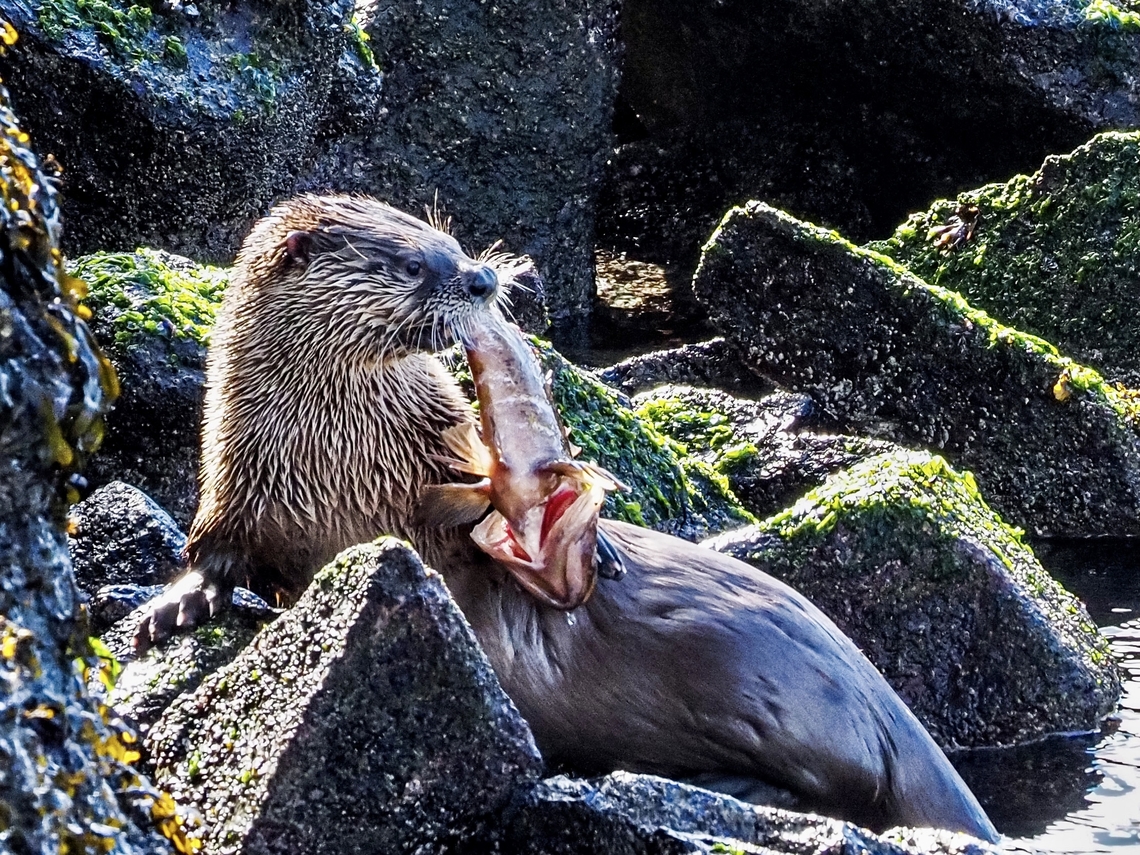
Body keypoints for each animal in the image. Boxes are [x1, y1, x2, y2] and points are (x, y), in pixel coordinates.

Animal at [135, 194, 997, 842]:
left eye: (448, 239)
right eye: (412, 264)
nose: (482, 276)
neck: (340, 461)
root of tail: (889, 700)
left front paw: (600, 544)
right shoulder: (238, 486)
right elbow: (214, 553)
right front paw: (171, 608)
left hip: (771, 683)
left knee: (846, 781)